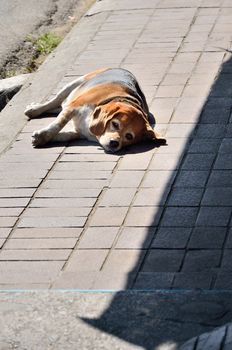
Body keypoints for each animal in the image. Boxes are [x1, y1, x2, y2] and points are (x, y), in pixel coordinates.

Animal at [24, 67, 166, 152]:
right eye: (115, 124)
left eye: (129, 136)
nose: (115, 143)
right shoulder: (73, 107)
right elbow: (57, 125)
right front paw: (43, 136)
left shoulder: (79, 132)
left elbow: (65, 135)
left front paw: (42, 138)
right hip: (76, 82)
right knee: (55, 101)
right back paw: (34, 109)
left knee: (58, 107)